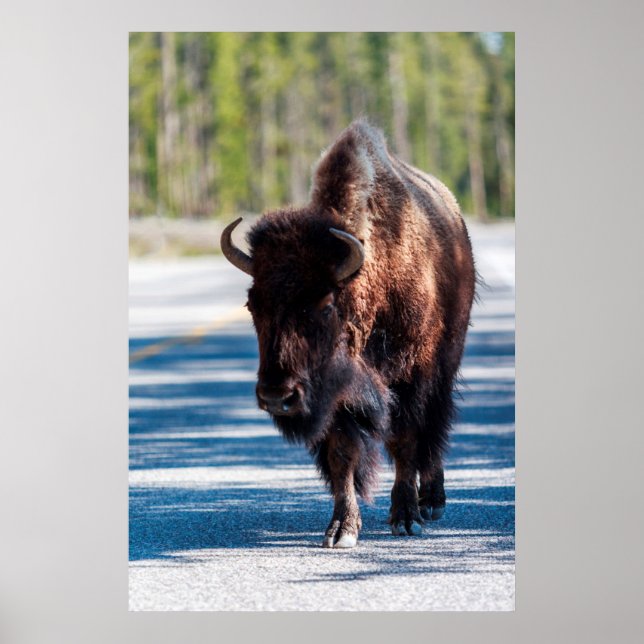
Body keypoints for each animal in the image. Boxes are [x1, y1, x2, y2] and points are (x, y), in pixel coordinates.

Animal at [221, 120, 475, 548]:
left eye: (325, 304)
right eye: (252, 304)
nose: (276, 396)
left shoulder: (411, 376)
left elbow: (405, 440)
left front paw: (405, 518)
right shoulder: (335, 396)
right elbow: (342, 454)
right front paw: (342, 529)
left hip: (446, 362)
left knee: (436, 427)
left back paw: (432, 501)